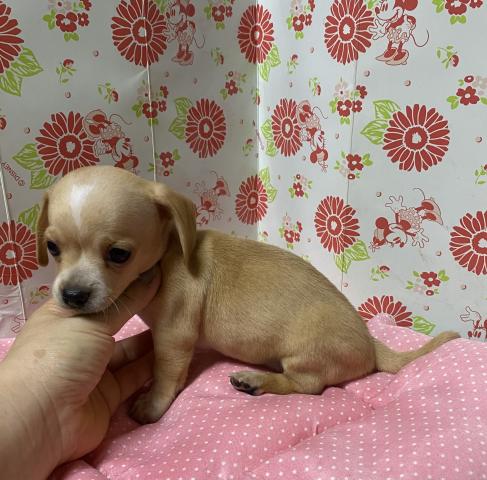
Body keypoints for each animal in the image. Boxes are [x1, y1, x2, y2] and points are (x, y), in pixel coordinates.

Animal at [36, 165, 460, 424]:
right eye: (52, 248)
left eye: (119, 255)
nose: (72, 295)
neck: (170, 254)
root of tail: (372, 345)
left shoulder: (174, 336)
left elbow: (166, 374)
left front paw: (152, 405)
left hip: (304, 355)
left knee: (308, 387)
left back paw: (256, 381)